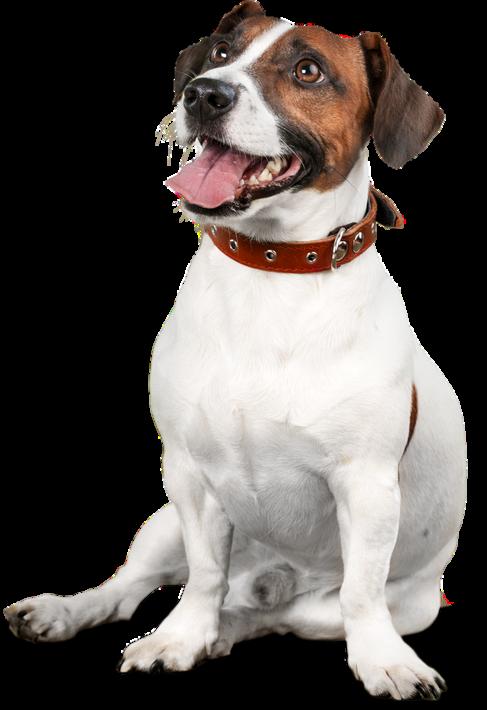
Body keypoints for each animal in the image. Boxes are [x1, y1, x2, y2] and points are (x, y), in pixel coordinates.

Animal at [4, 1, 467, 700]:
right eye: (221, 51)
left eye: (308, 70)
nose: (203, 94)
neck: (273, 271)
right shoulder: (188, 475)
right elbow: (202, 576)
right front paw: (179, 638)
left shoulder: (366, 486)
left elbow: (359, 595)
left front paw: (385, 661)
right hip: (161, 524)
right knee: (133, 586)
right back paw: (68, 611)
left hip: (403, 600)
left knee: (290, 611)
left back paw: (237, 624)